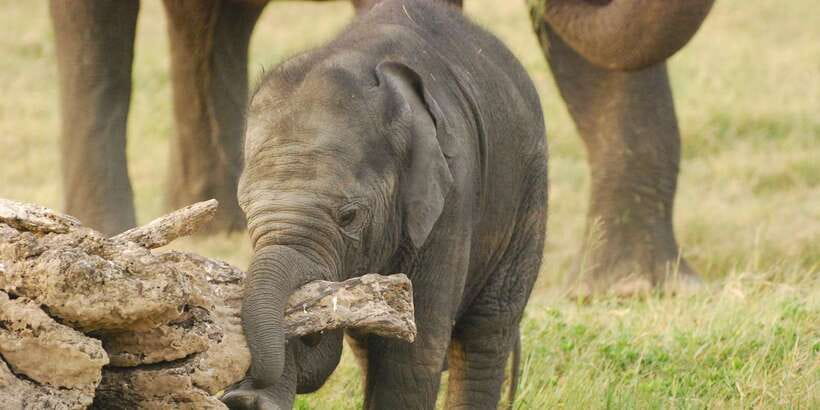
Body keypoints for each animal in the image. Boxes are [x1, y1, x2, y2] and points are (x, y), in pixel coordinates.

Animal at [219, 0, 548, 408]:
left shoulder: (452, 197)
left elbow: (409, 359)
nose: (239, 392)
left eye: (349, 216)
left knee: (488, 330)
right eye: (247, 211)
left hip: (530, 188)